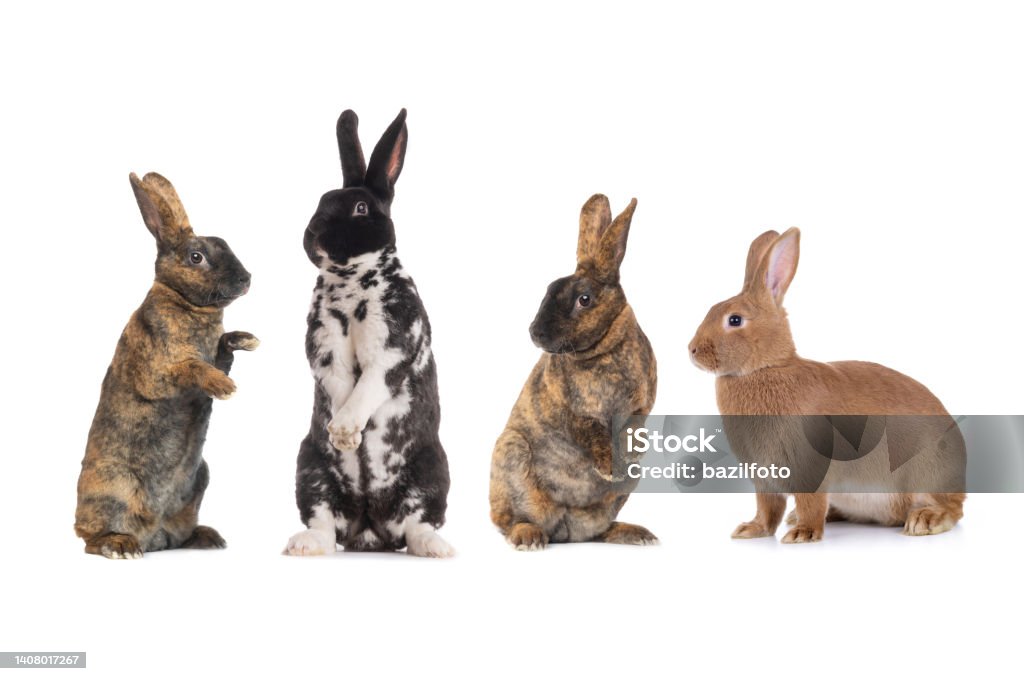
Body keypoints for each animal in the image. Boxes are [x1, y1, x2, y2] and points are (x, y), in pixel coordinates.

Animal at [75, 172, 258, 559]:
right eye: (196, 257)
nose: (247, 279)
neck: (183, 301)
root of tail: (152, 535)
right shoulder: (158, 370)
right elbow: (192, 368)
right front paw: (226, 388)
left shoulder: (216, 355)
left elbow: (224, 349)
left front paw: (247, 339)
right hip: (112, 487)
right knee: (90, 539)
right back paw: (121, 545)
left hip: (199, 479)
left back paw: (208, 537)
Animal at [284, 109, 452, 558]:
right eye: (320, 201)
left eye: (360, 207)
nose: (312, 235)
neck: (352, 280)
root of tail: (370, 528)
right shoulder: (325, 351)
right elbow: (341, 386)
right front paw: (343, 438)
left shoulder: (392, 347)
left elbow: (368, 388)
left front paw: (345, 431)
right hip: (310, 471)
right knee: (324, 524)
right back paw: (304, 545)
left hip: (432, 474)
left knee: (417, 526)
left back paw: (436, 548)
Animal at [489, 194, 658, 551]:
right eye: (548, 290)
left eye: (584, 299)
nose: (535, 333)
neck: (603, 349)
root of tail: (565, 532)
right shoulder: (572, 411)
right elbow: (591, 431)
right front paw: (609, 468)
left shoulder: (641, 407)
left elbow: (632, 427)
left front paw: (627, 458)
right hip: (511, 454)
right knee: (510, 522)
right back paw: (529, 537)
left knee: (597, 531)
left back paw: (636, 534)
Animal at [688, 228, 966, 543]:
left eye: (734, 320)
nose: (692, 350)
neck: (766, 368)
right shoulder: (764, 476)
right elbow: (767, 507)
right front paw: (752, 529)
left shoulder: (810, 465)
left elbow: (810, 501)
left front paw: (803, 534)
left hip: (926, 472)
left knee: (952, 508)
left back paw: (925, 521)